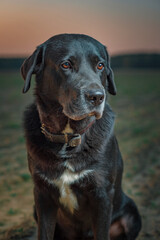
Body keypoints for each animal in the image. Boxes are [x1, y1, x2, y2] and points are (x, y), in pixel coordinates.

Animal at [21, 34, 141, 240]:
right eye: (66, 65)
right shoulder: (42, 194)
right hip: (35, 210)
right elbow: (44, 233)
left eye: (100, 65)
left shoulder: (102, 194)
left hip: (132, 214)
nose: (97, 97)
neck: (69, 137)